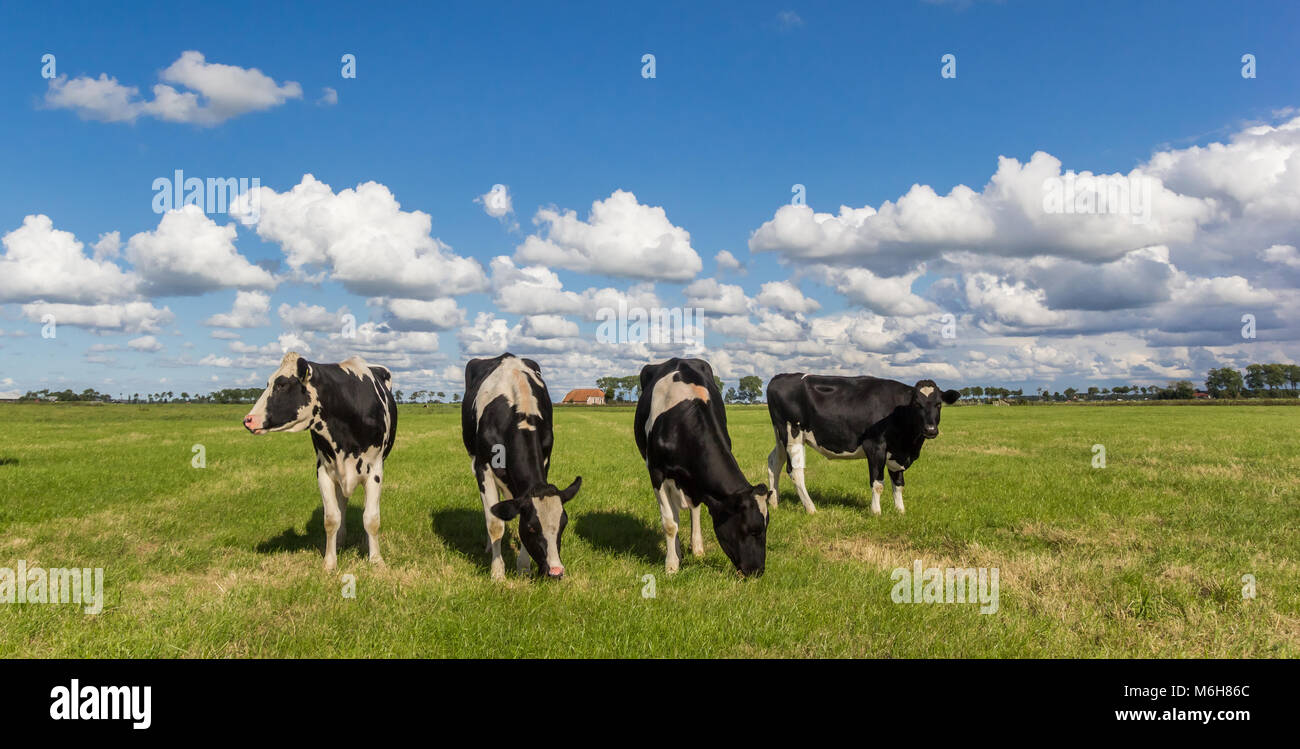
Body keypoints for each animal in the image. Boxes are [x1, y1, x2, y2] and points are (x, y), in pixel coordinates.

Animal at [243, 352, 398, 571]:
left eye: (281, 384)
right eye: (268, 383)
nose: (248, 420)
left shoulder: (375, 470)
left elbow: (371, 519)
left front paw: (376, 560)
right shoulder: (324, 471)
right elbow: (332, 518)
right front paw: (329, 562)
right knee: (342, 503)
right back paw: (340, 540)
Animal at [462, 353, 581, 581]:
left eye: (563, 525)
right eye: (532, 529)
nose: (555, 571)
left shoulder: (545, 461)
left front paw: (524, 568)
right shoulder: (483, 467)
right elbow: (495, 524)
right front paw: (497, 573)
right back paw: (489, 548)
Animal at [634, 358, 769, 577]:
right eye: (752, 529)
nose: (757, 571)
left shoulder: (696, 479)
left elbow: (694, 509)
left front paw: (692, 550)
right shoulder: (656, 472)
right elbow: (670, 523)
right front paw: (671, 564)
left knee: (693, 509)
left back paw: (696, 547)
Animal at [765, 374, 960, 516]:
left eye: (939, 404)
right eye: (917, 404)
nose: (930, 430)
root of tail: (779, 377)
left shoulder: (897, 453)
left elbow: (898, 483)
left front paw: (900, 511)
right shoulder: (875, 446)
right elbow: (878, 483)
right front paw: (876, 512)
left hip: (781, 437)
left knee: (774, 462)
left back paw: (774, 502)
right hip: (792, 435)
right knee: (794, 471)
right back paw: (811, 508)